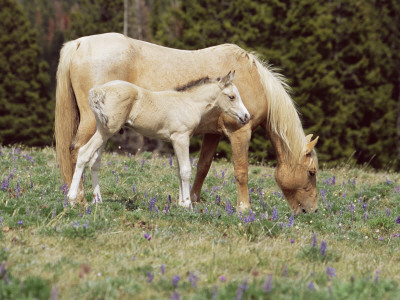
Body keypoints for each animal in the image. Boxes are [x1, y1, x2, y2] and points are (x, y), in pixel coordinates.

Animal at [68, 71, 250, 207]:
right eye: (232, 97)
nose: (246, 117)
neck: (188, 103)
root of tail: (99, 90)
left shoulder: (175, 140)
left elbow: (178, 170)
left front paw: (180, 203)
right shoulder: (181, 138)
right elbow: (185, 170)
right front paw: (187, 204)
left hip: (104, 131)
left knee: (95, 161)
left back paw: (97, 200)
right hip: (106, 131)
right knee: (84, 153)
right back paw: (71, 198)